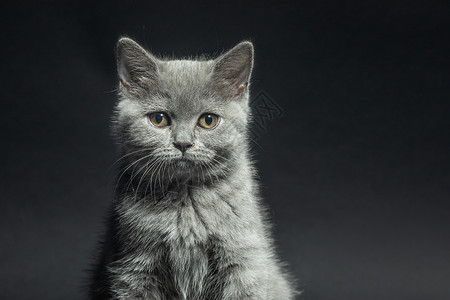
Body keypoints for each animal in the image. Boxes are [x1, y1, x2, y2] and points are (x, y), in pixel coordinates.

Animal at [89, 37, 298, 300]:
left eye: (208, 120)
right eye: (159, 119)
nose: (183, 143)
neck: (186, 200)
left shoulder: (244, 264)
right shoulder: (133, 270)